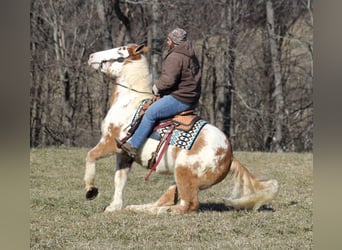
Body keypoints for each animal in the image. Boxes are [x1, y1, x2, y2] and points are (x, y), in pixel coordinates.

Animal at [85, 43, 278, 215]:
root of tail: (229, 156)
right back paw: (138, 208)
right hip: (178, 180)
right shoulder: (124, 154)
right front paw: (114, 207)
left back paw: (161, 211)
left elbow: (90, 156)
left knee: (188, 204)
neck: (129, 103)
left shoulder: (110, 143)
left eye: (120, 51)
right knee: (167, 199)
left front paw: (91, 190)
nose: (91, 56)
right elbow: (120, 179)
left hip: (184, 174)